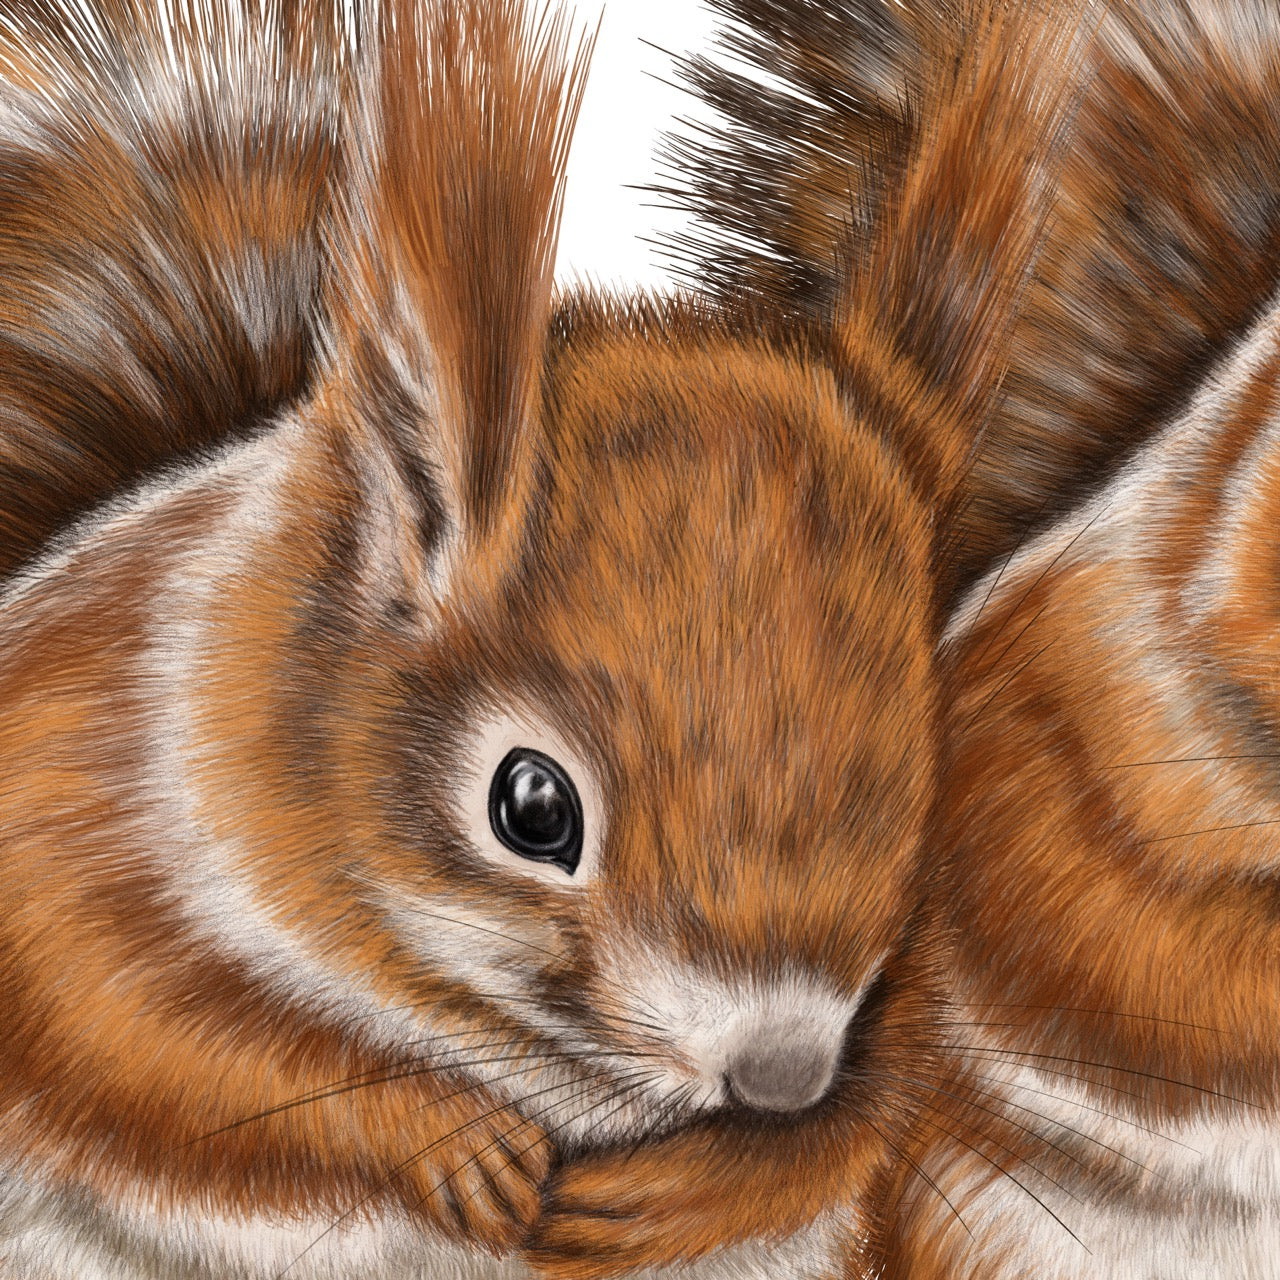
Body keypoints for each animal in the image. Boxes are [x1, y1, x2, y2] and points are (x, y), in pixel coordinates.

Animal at [2, 1, 1270, 1279]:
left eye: (925, 793)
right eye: (531, 806)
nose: (778, 1073)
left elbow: (865, 1113)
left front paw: (688, 1185)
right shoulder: (79, 791)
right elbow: (143, 1035)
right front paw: (446, 1135)